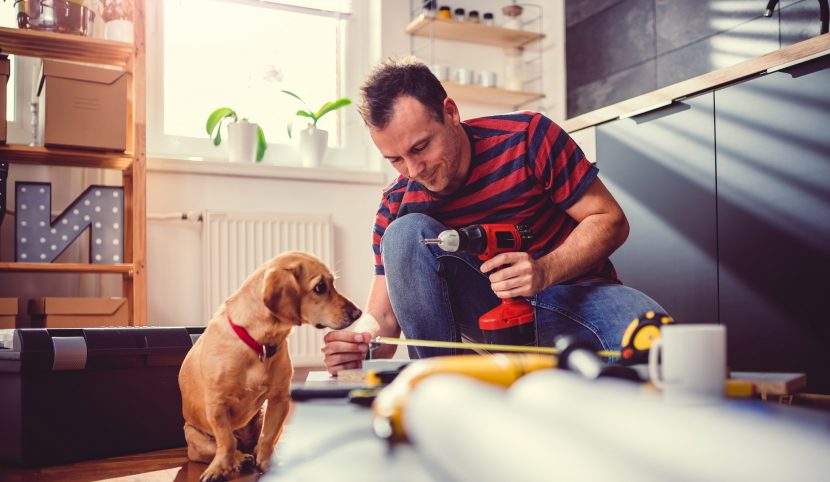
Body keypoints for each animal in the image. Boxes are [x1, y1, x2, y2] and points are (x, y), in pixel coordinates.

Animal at [179, 250, 360, 480]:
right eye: (320, 287)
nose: (358, 313)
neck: (259, 343)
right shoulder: (217, 406)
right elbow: (227, 441)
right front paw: (219, 469)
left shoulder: (279, 399)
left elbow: (267, 437)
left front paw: (267, 463)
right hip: (195, 439)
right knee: (231, 446)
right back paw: (239, 459)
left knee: (261, 443)